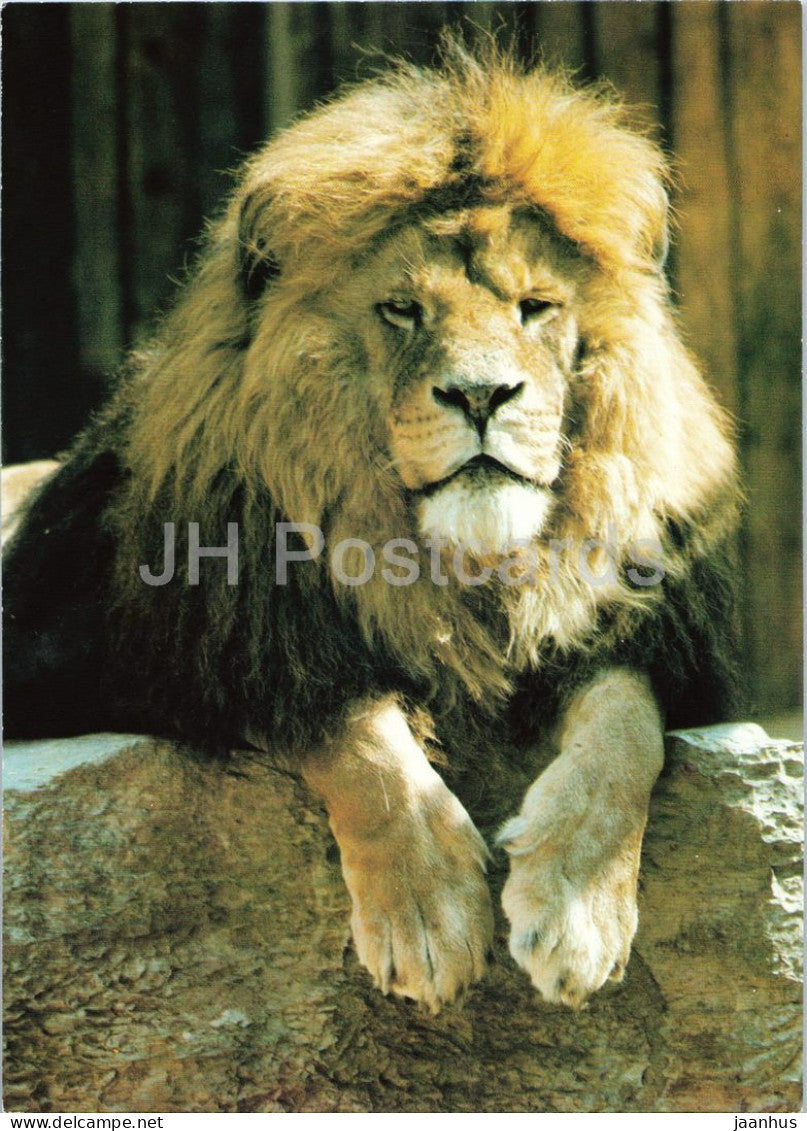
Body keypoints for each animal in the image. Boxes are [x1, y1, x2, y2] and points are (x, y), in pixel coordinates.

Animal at [4, 39, 741, 1011]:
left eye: (534, 307)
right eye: (403, 309)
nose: (481, 395)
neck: (463, 567)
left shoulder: (634, 633)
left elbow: (626, 726)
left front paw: (576, 908)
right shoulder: (226, 647)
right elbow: (358, 737)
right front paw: (428, 915)